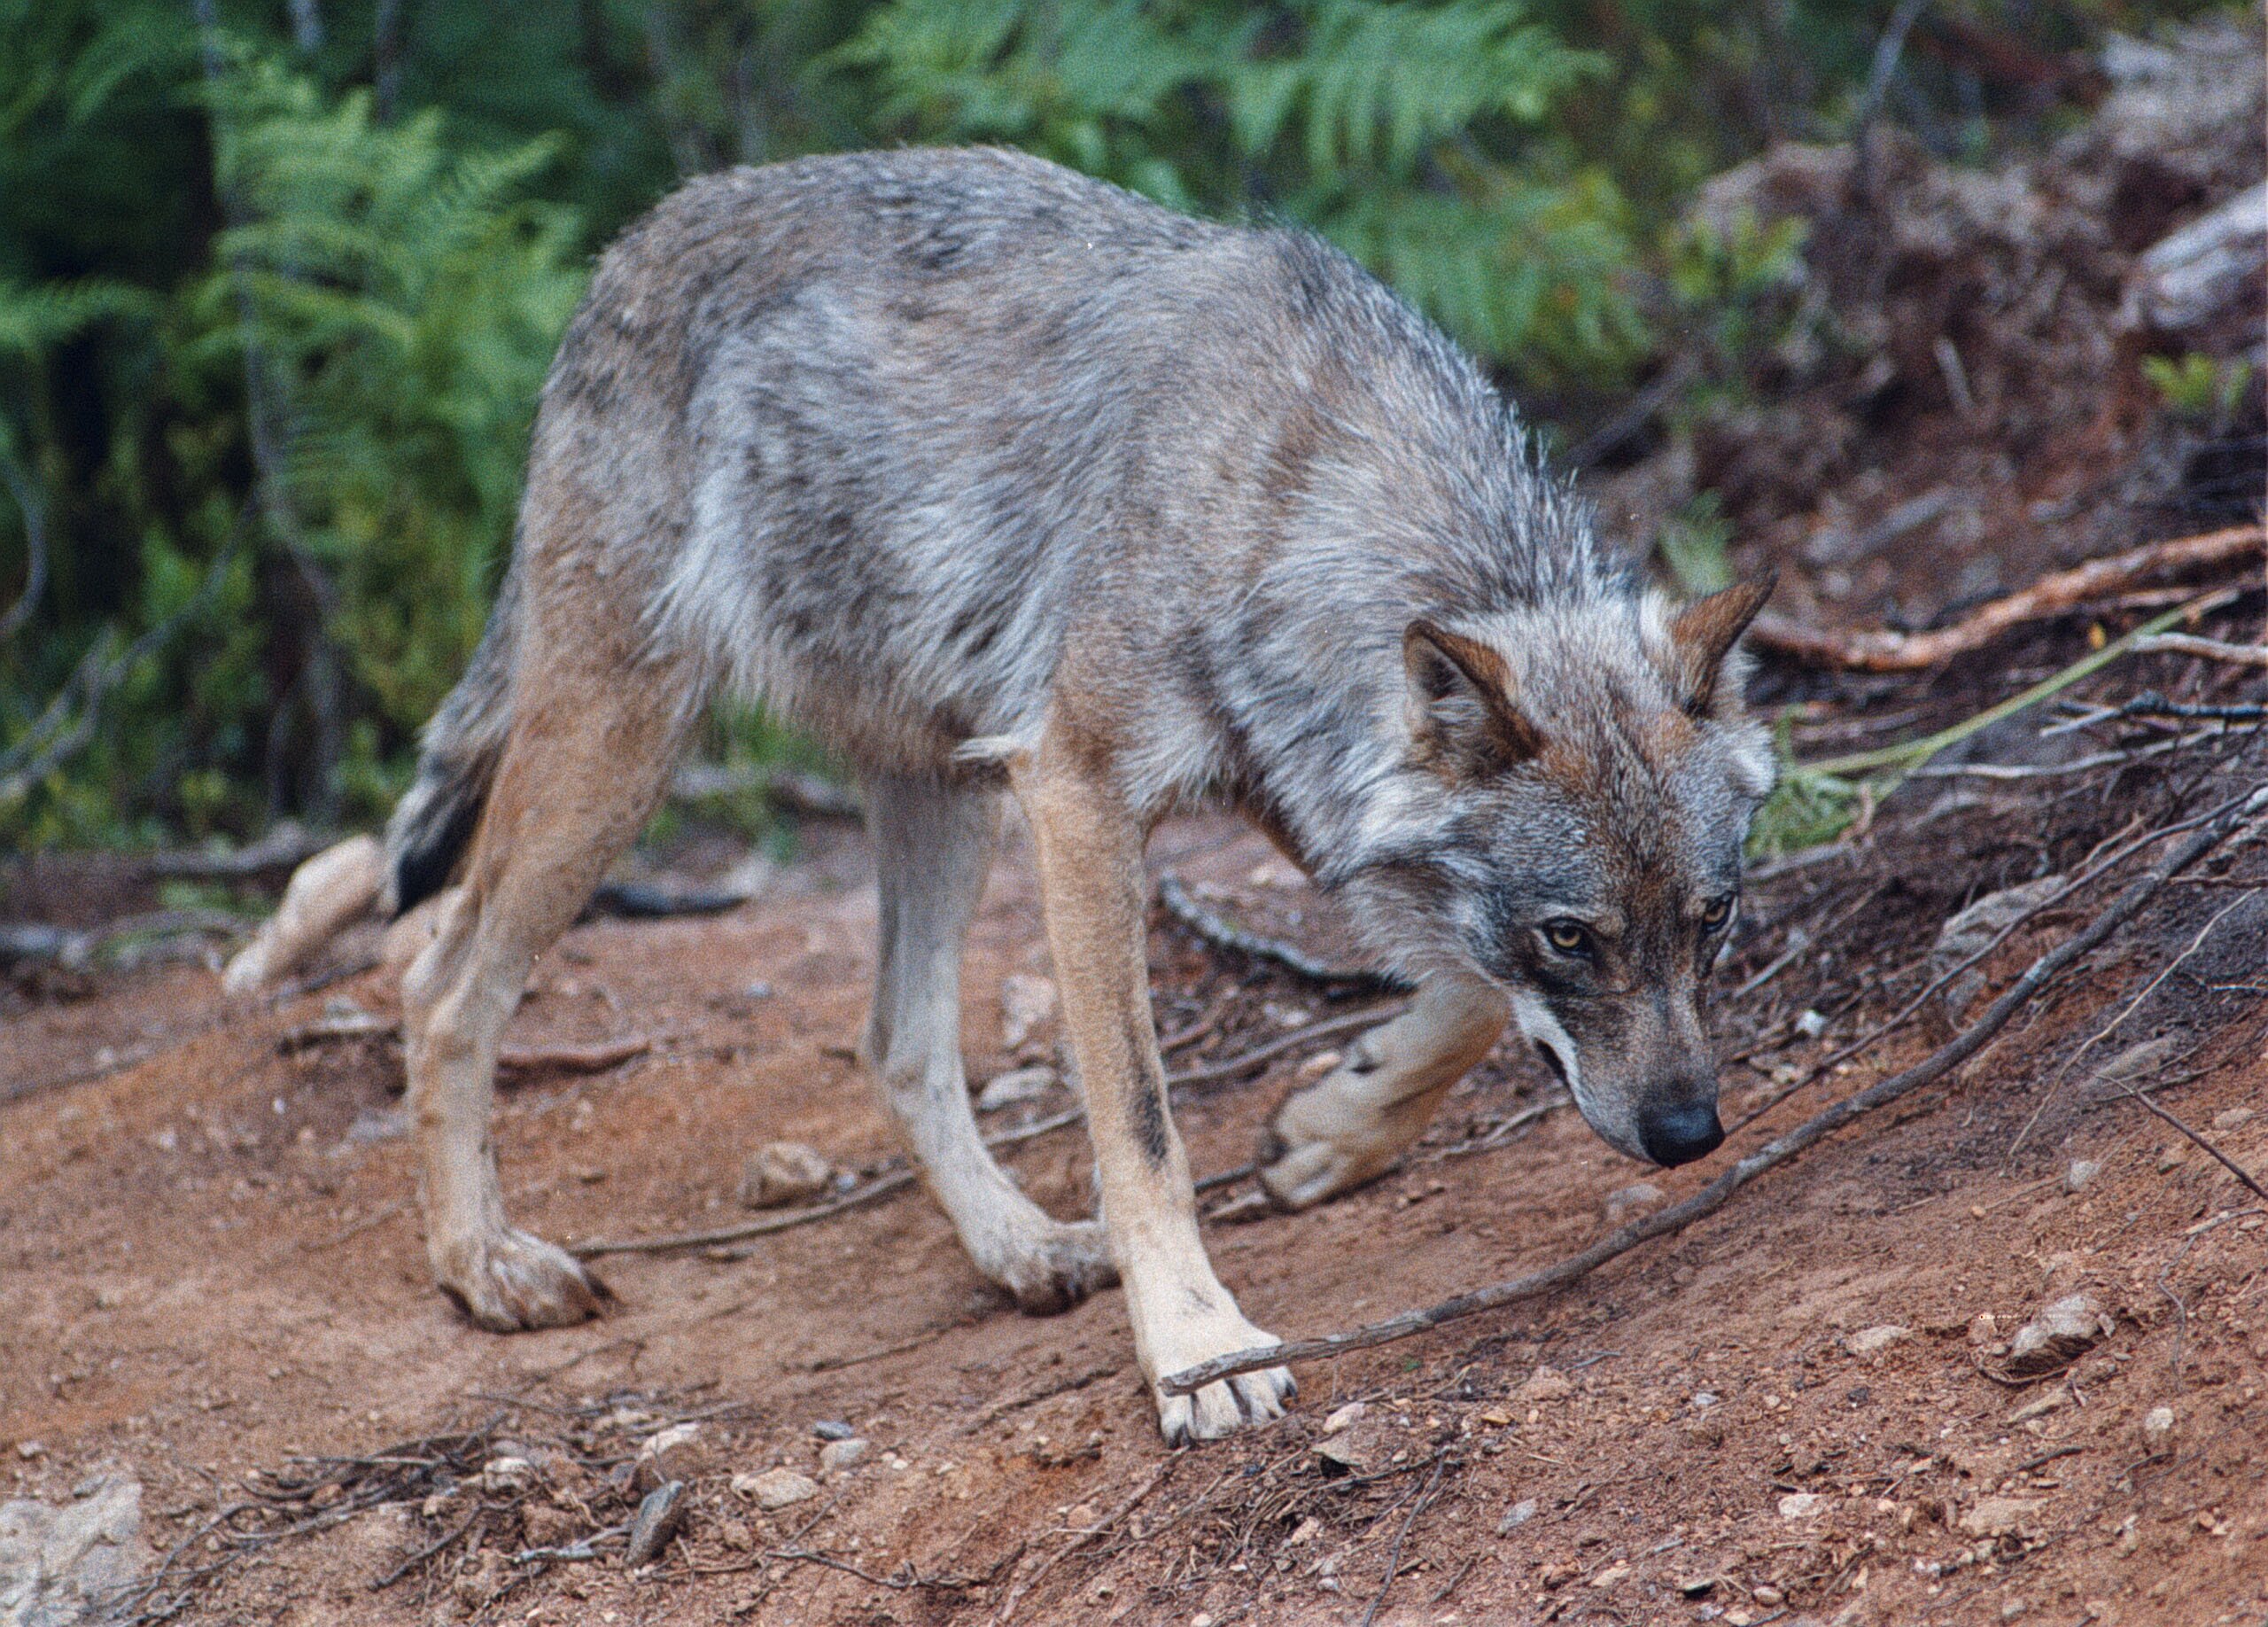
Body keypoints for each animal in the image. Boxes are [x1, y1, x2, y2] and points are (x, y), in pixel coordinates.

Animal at [226, 146, 1775, 1443]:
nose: (1691, 1139)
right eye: (1571, 936)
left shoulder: (1290, 784)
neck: (1294, 491)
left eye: (1713, 921)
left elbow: (1455, 997)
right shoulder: (1081, 795)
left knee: (893, 1042)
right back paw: (484, 1269)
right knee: (441, 975)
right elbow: (1144, 1128)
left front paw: (1336, 1129)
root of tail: (634, 242)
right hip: (627, 753)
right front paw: (1200, 1352)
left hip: (938, 790)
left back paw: (1021, 1251)